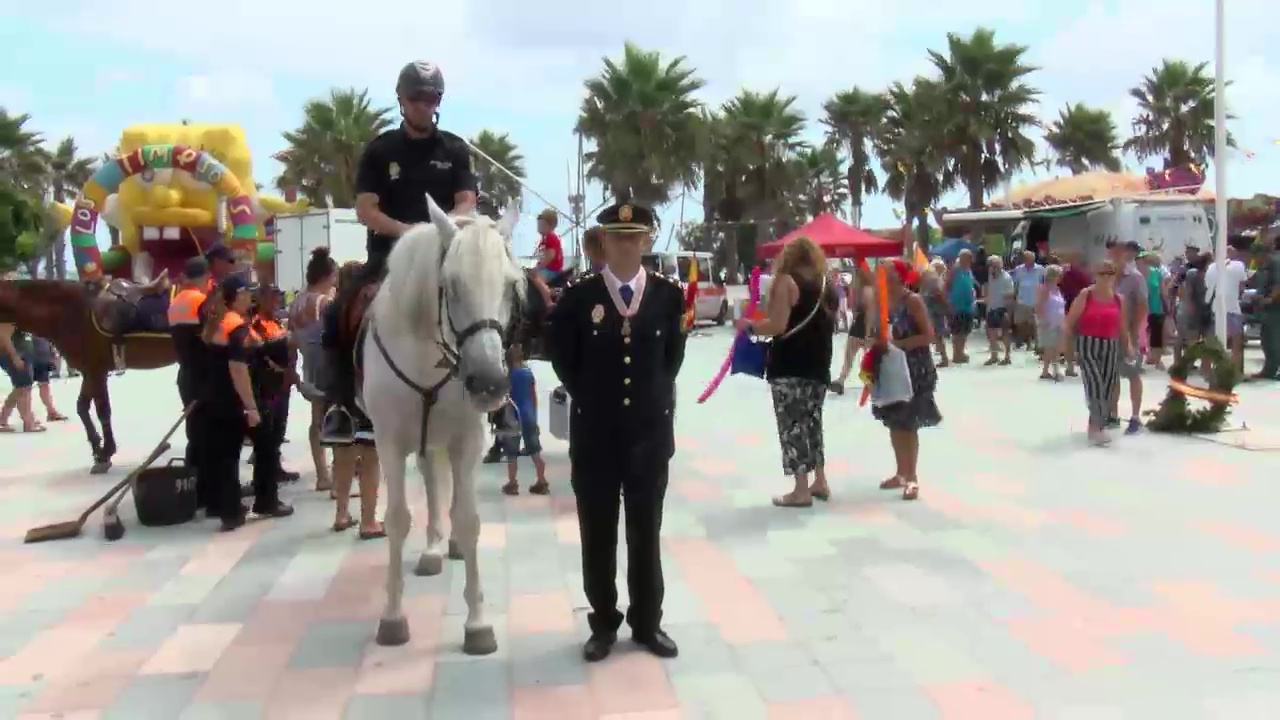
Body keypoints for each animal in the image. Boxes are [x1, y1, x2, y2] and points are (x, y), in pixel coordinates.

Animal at [0, 275, 176, 471]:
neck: (70, 311)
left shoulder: (96, 371)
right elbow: (82, 407)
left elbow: (102, 410)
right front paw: (99, 450)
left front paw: (105, 454)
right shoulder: (90, 371)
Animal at [360, 193, 524, 653]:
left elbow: (468, 519)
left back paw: (445, 544)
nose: (488, 383)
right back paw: (432, 548)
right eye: (450, 285)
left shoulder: (467, 439)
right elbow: (397, 519)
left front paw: (478, 624)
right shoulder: (389, 442)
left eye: (510, 286)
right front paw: (393, 617)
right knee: (432, 484)